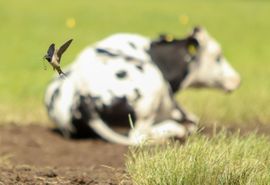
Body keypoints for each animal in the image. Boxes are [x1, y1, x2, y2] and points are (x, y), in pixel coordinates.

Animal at [44, 26, 240, 145]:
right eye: (218, 57)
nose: (237, 80)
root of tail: (81, 92)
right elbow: (192, 121)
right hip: (151, 89)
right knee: (140, 136)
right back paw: (173, 131)